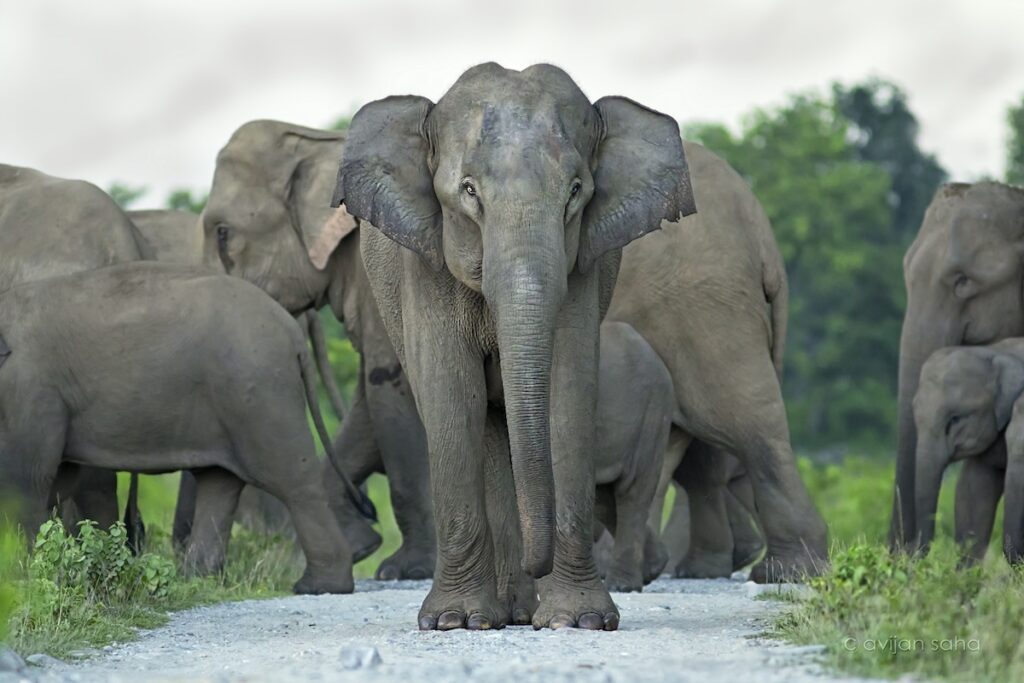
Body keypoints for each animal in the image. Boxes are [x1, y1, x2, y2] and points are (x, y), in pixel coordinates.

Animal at [0, 262, 366, 593]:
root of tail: (292, 333)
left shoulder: (30, 390)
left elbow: (25, 481)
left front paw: (22, 579)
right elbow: (57, 480)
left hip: (260, 393)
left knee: (291, 480)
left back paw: (318, 586)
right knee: (219, 483)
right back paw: (199, 582)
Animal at [199, 119, 435, 580]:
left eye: (222, 233)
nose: (368, 508)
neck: (317, 142)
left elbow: (390, 387)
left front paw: (404, 570)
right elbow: (368, 402)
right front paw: (361, 547)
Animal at [336, 62, 695, 631]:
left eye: (575, 192)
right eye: (468, 191)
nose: (536, 561)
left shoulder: (582, 265)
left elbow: (567, 390)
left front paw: (578, 621)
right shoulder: (426, 261)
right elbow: (452, 396)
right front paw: (453, 621)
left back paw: (521, 610)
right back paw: (501, 612)